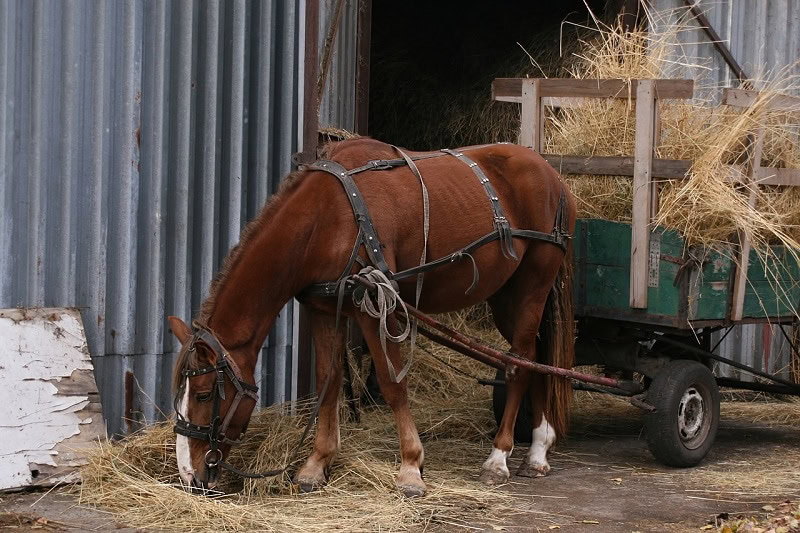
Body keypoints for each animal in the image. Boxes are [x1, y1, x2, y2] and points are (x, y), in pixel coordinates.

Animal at [168, 137, 576, 497]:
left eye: (204, 393)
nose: (190, 477)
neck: (329, 215)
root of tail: (551, 174)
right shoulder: (323, 308)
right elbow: (329, 381)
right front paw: (316, 464)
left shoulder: (374, 305)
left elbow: (393, 383)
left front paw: (411, 467)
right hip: (506, 299)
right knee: (536, 358)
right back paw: (539, 449)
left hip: (533, 286)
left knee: (519, 365)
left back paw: (500, 457)